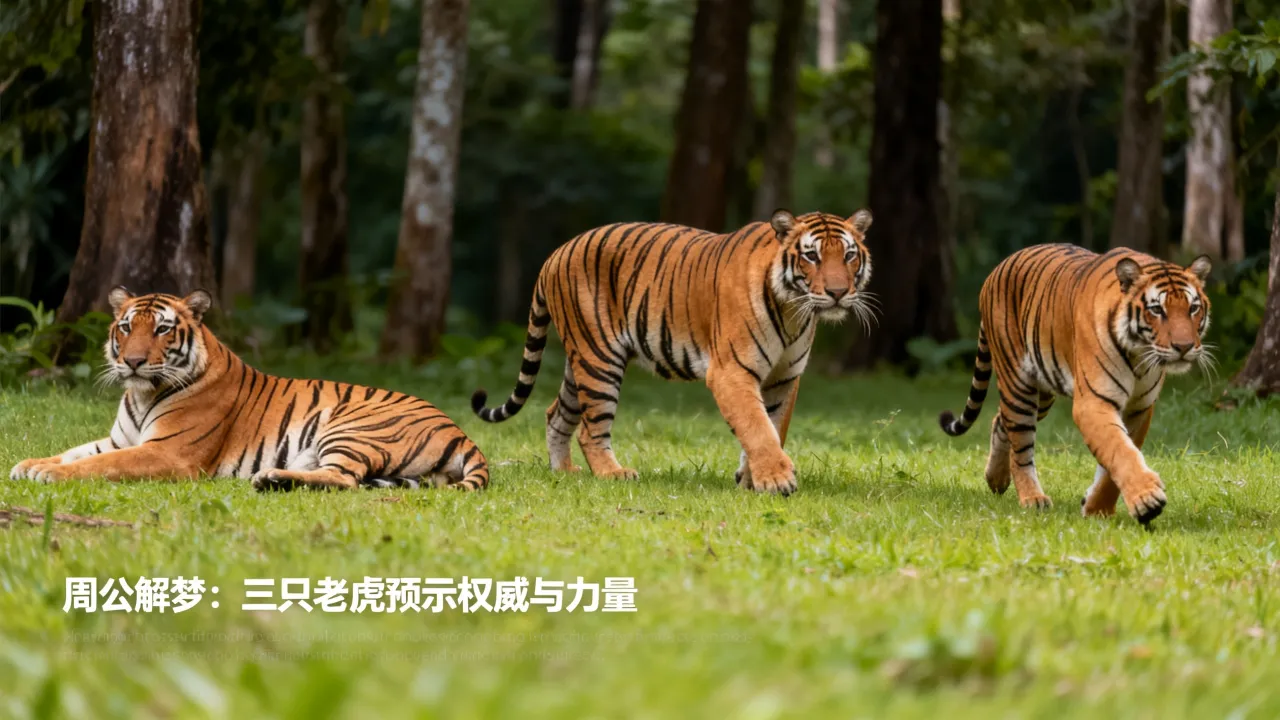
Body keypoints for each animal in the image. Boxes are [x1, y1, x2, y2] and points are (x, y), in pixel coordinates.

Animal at [9, 288, 488, 491]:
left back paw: (271, 479)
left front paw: (48, 475)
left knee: (344, 480)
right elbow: (74, 452)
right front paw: (28, 465)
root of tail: (459, 430)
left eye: (162, 329)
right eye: (126, 327)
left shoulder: (166, 452)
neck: (142, 394)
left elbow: (99, 465)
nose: (133, 361)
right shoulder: (118, 439)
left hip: (352, 429)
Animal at [470, 209, 875, 495]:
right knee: (590, 429)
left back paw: (565, 472)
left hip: (580, 362)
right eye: (812, 256)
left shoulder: (783, 377)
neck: (793, 310)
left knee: (555, 414)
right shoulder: (731, 372)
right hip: (600, 360)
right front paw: (776, 480)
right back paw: (613, 474)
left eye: (849, 256)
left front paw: (751, 479)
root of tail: (556, 253)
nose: (838, 292)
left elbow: (773, 426)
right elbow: (757, 427)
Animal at [938, 244, 1212, 524]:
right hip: (1019, 385)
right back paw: (1032, 498)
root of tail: (995, 271)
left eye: (1193, 308)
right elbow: (1120, 450)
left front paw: (1097, 509)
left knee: (1000, 421)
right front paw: (1147, 500)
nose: (1184, 347)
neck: (1139, 356)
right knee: (1020, 446)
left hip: (1043, 392)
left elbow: (1115, 461)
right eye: (1157, 309)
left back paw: (996, 479)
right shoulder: (1093, 402)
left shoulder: (1139, 408)